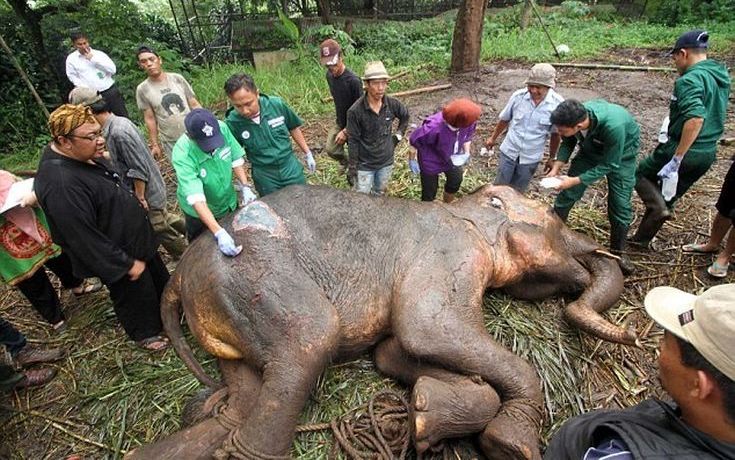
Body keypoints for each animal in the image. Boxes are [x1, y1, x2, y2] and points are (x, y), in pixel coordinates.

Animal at [126, 184, 632, 460]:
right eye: (552, 220)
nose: (627, 333)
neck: (462, 209)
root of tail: (179, 277)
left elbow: (392, 351)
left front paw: (425, 410)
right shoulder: (453, 251)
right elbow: (425, 327)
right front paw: (510, 446)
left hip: (225, 310)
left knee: (240, 401)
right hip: (252, 280)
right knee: (309, 343)